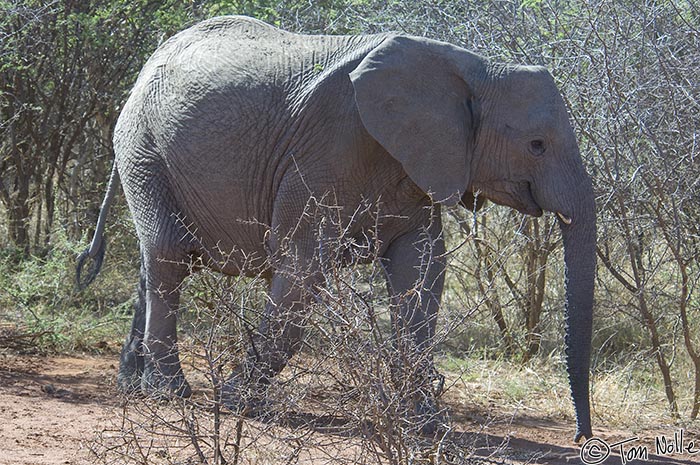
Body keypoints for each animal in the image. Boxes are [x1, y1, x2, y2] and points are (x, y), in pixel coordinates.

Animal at [79, 15, 596, 442]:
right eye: (536, 145)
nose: (581, 438)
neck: (476, 69)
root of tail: (145, 69)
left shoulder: (417, 166)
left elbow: (422, 273)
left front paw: (427, 427)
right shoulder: (327, 153)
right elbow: (302, 268)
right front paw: (236, 401)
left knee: (153, 263)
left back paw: (134, 385)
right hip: (144, 150)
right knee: (168, 257)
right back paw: (170, 394)